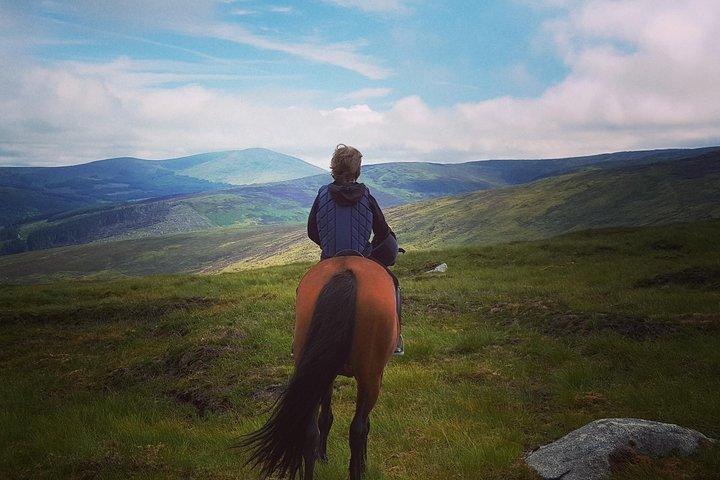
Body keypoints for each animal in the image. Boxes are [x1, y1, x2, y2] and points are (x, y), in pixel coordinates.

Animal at [240, 255, 398, 480]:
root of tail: (346, 272)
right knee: (357, 429)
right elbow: (364, 424)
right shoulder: (376, 374)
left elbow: (325, 417)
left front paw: (322, 456)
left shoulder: (326, 374)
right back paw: (356, 471)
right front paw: (363, 463)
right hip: (369, 376)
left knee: (309, 430)